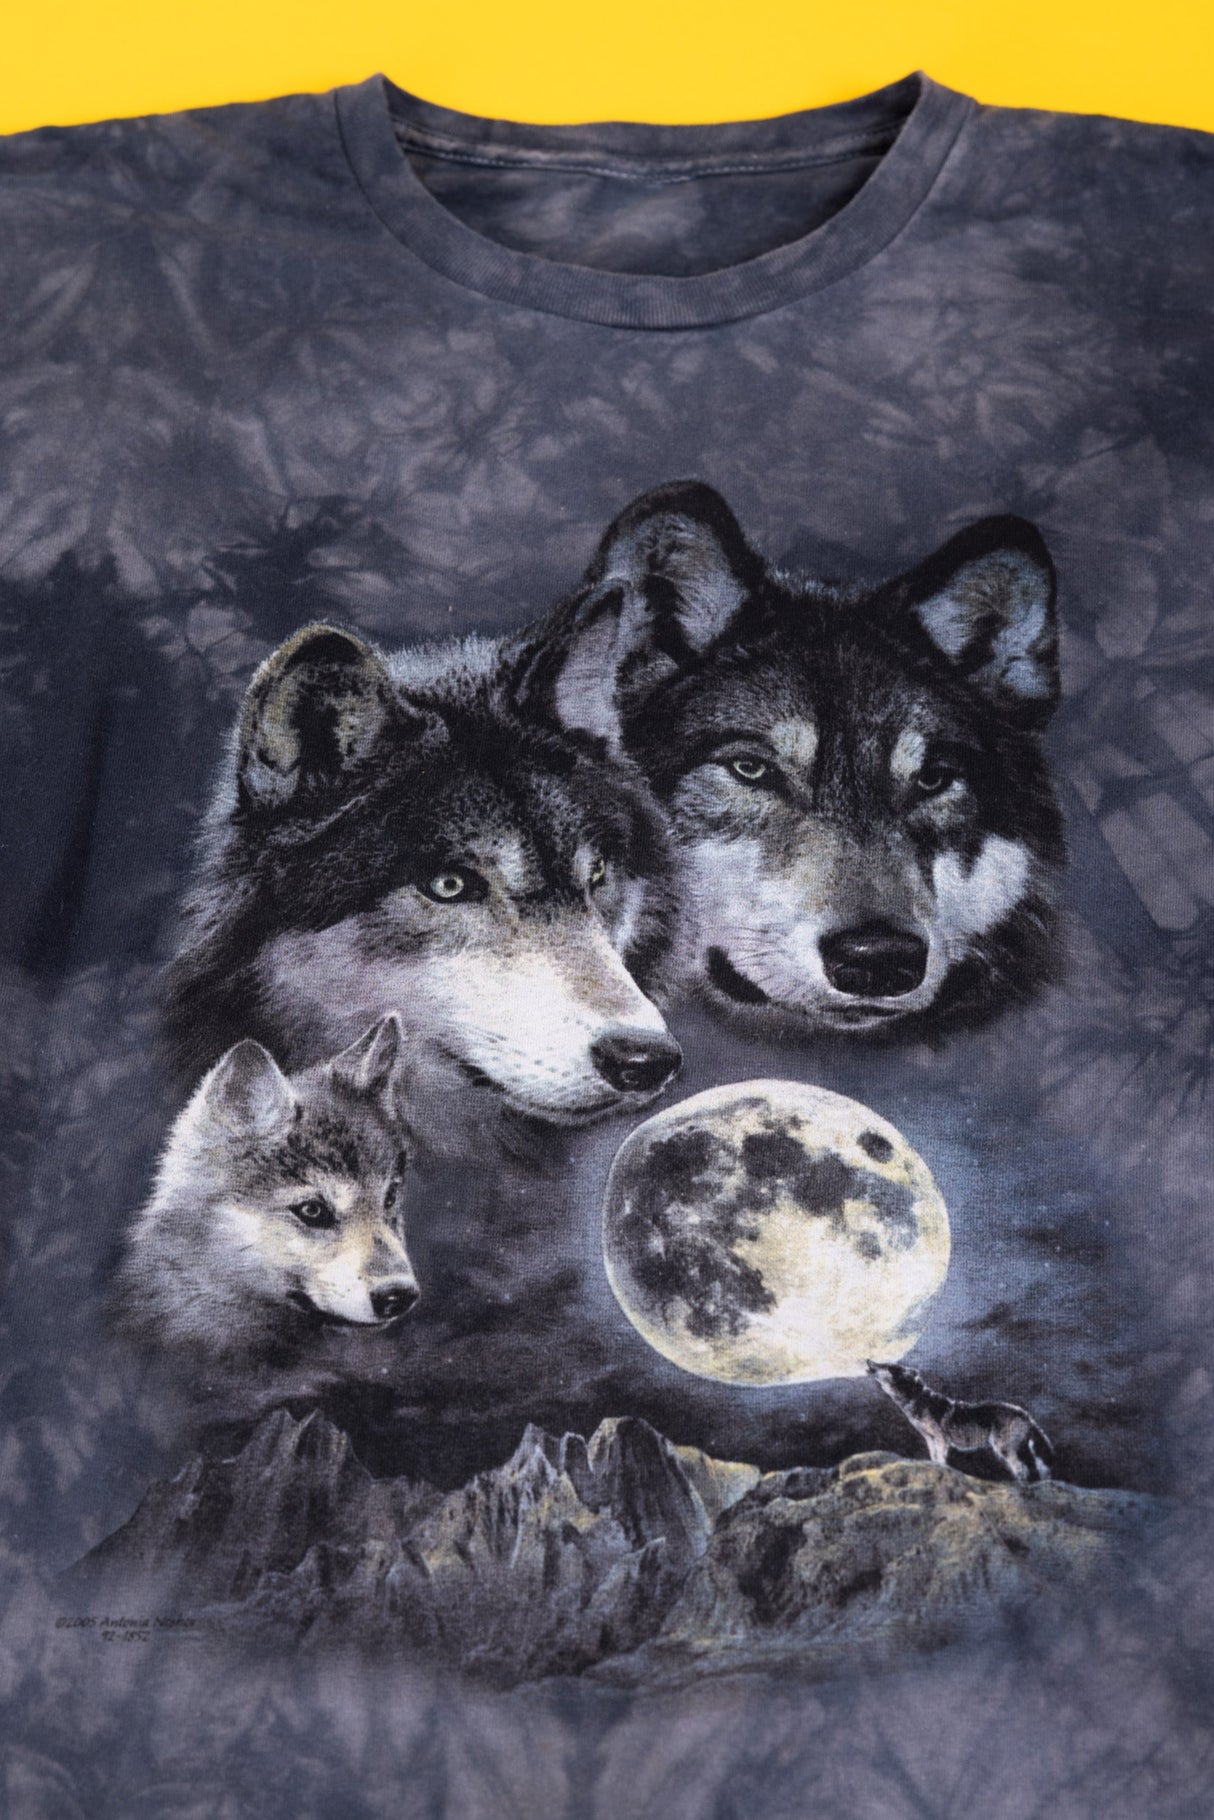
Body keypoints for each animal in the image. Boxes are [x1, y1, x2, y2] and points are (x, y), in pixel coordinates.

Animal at [868, 1361, 1054, 1484]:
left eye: (886, 1366)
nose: (869, 1360)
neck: (917, 1399)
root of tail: (1026, 1415)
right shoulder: (930, 1439)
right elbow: (933, 1457)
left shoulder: (941, 1439)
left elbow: (940, 1459)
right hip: (1019, 1449)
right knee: (1033, 1468)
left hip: (1003, 1448)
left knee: (1021, 1469)